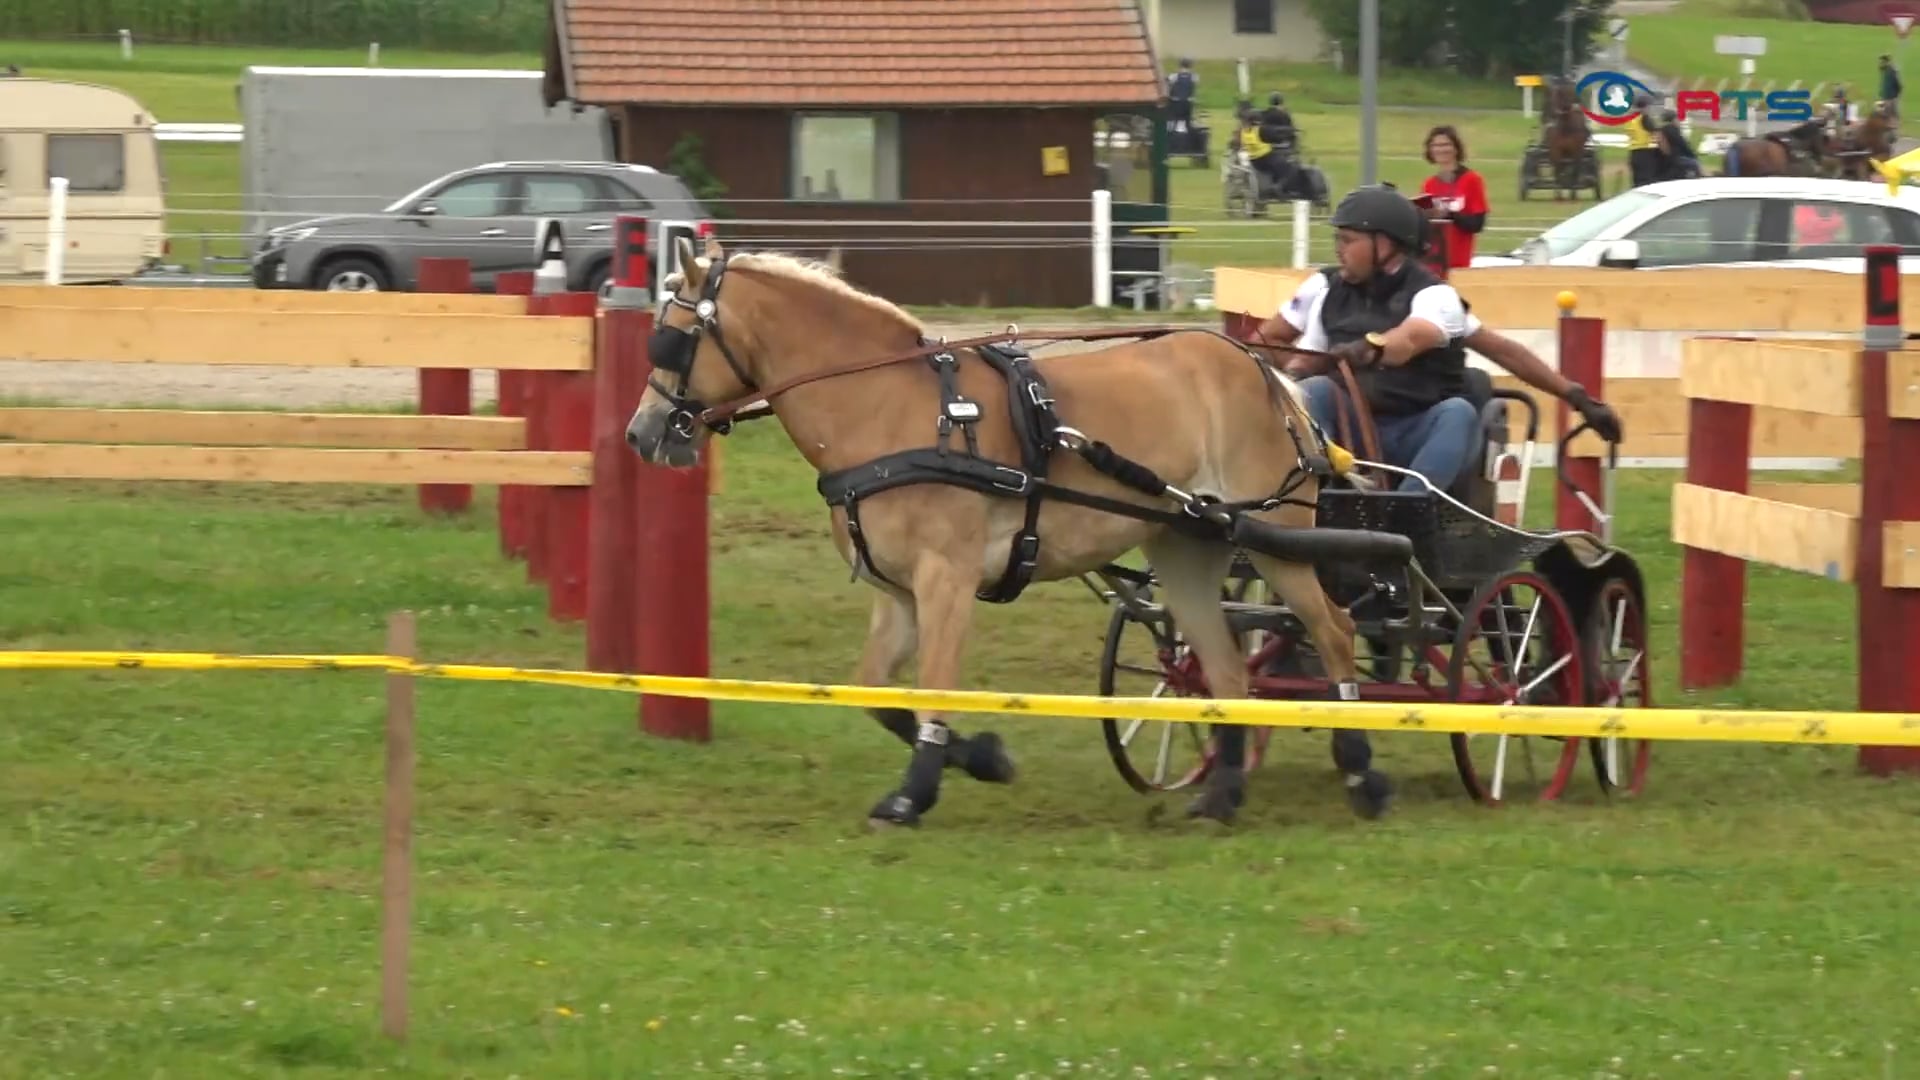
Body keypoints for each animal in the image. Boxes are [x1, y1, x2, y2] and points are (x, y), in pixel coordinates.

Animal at [629, 235, 1413, 822]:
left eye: (671, 341)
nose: (642, 434)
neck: (889, 406)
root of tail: (1258, 366)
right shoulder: (898, 591)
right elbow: (879, 692)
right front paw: (982, 757)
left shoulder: (944, 579)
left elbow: (934, 688)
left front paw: (916, 791)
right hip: (1189, 545)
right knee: (1224, 669)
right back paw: (1222, 794)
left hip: (1274, 535)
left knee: (1333, 630)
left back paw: (1361, 772)